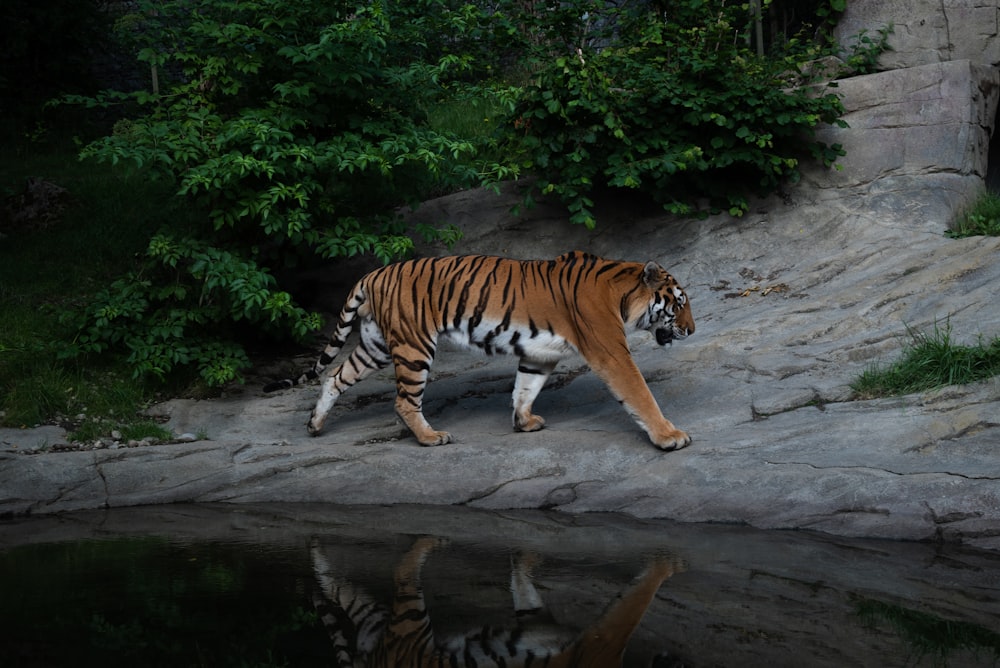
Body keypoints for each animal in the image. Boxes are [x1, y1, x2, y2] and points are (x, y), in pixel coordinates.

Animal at [262, 249, 692, 448]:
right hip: (414, 347)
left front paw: (523, 422)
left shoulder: (539, 354)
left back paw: (315, 425)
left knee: (335, 376)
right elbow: (640, 394)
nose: (691, 329)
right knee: (403, 400)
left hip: (376, 345)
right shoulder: (610, 351)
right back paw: (431, 437)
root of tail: (373, 273)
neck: (622, 291)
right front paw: (669, 437)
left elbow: (525, 389)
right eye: (679, 303)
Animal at [310, 536, 688, 668]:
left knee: (348, 596)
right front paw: (668, 566)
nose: (674, 657)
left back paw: (318, 570)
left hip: (379, 628)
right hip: (409, 626)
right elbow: (637, 600)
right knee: (403, 572)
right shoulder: (602, 643)